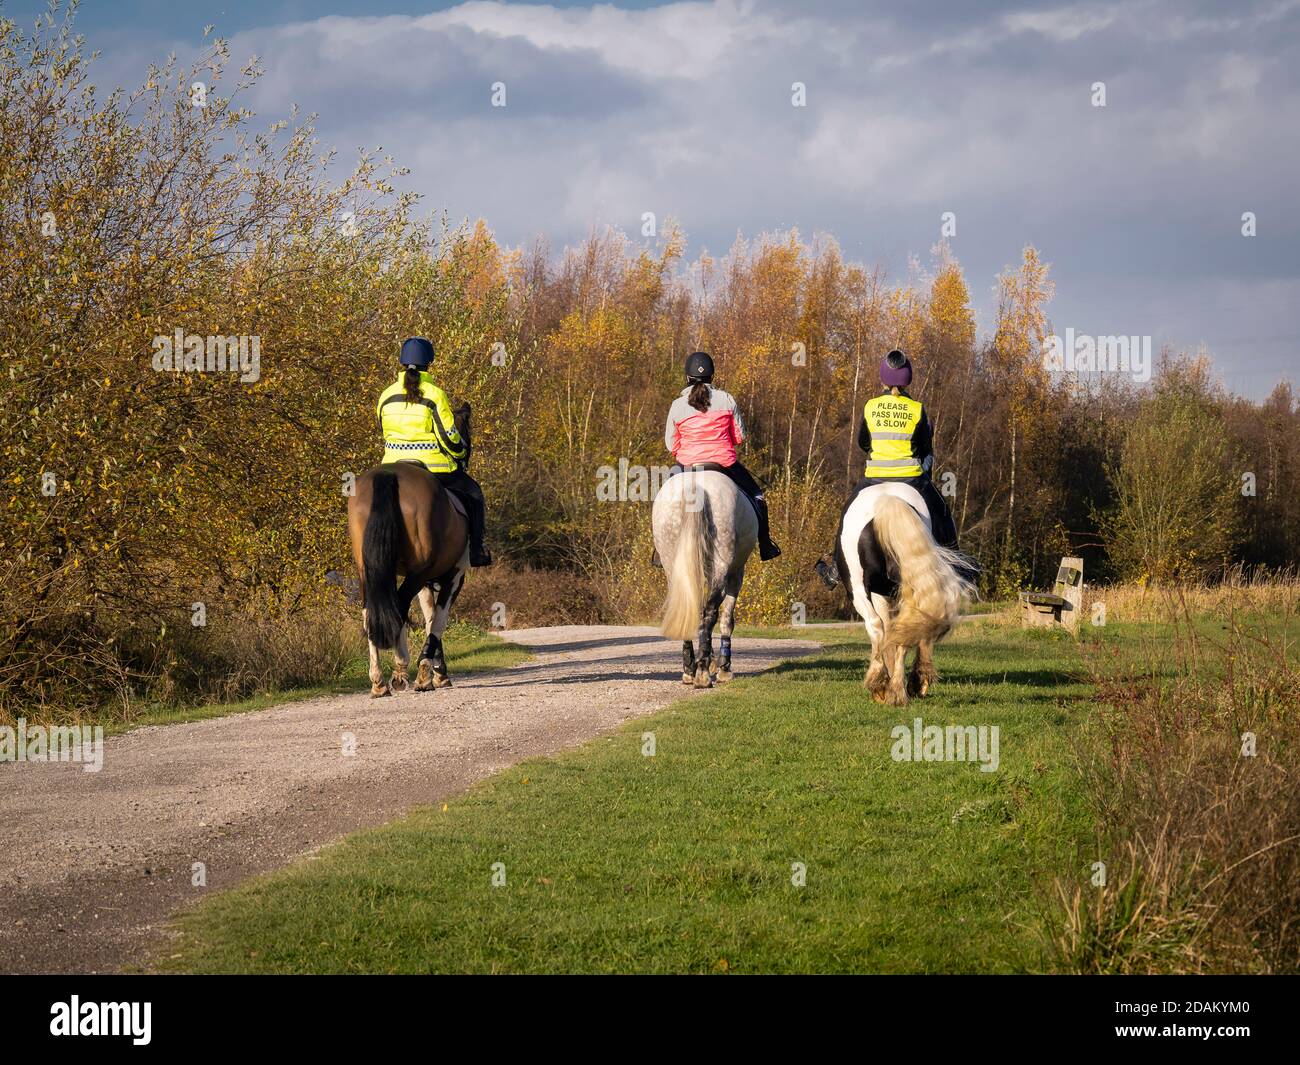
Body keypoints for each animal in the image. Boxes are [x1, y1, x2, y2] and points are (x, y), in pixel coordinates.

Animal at [832, 486, 977, 707]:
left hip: (856, 589)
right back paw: (897, 689)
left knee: (877, 626)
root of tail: (888, 502)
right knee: (901, 629)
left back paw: (883, 685)